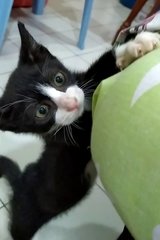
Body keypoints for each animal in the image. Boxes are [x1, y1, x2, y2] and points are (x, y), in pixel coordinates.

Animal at [0, 22, 119, 240]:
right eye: (42, 111)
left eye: (59, 78)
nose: (72, 103)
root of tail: (20, 184)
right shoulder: (78, 136)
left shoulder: (81, 84)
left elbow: (91, 78)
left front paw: (137, 39)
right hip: (25, 220)